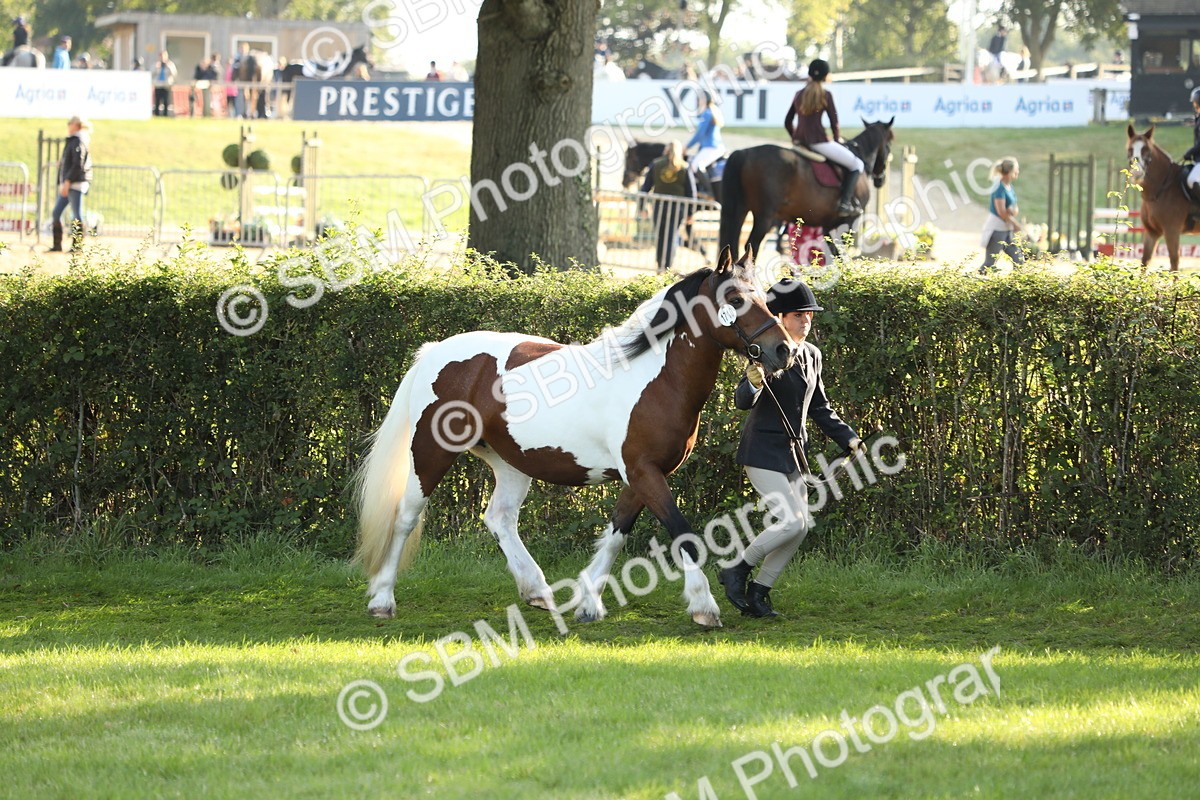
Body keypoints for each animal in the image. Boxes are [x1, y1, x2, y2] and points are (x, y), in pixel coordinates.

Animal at [354, 248, 796, 628]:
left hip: (510, 462)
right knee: (405, 516)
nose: (784, 350)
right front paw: (704, 607)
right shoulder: (644, 473)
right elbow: (683, 533)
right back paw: (382, 599)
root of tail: (433, 351)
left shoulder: (640, 477)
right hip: (430, 452)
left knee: (500, 518)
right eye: (735, 298)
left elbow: (617, 535)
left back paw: (537, 591)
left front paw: (588, 603)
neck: (657, 379)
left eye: (763, 297)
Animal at [718, 118, 895, 258]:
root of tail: (744, 152)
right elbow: (840, 251)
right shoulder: (849, 221)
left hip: (741, 209)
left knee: (732, 243)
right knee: (752, 245)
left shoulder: (828, 224)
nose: (881, 180)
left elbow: (831, 253)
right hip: (765, 215)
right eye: (889, 145)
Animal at [1126, 123, 1200, 271]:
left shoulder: (1171, 230)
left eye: (1146, 150)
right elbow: (1145, 261)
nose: (1137, 173)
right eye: (1130, 149)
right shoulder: (1152, 232)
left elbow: (1174, 263)